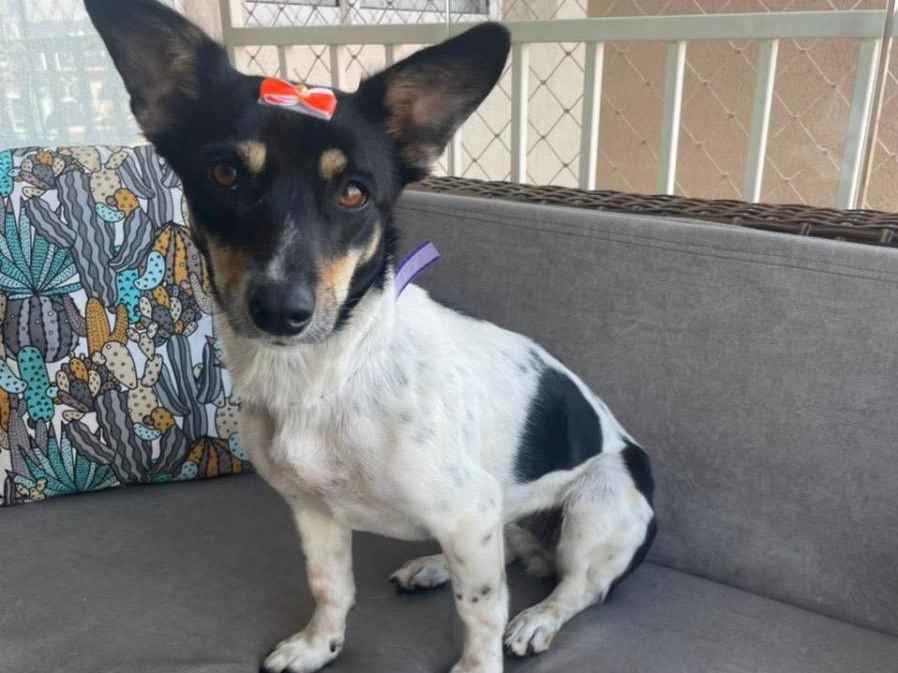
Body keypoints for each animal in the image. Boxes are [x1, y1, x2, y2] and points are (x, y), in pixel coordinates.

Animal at [86, 2, 657, 672]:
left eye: (354, 192)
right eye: (225, 174)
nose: (281, 310)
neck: (325, 375)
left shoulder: (470, 511)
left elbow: (481, 613)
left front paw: (479, 662)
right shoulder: (315, 511)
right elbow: (331, 586)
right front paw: (318, 645)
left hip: (595, 510)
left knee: (577, 587)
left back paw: (538, 617)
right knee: (510, 551)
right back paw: (432, 566)